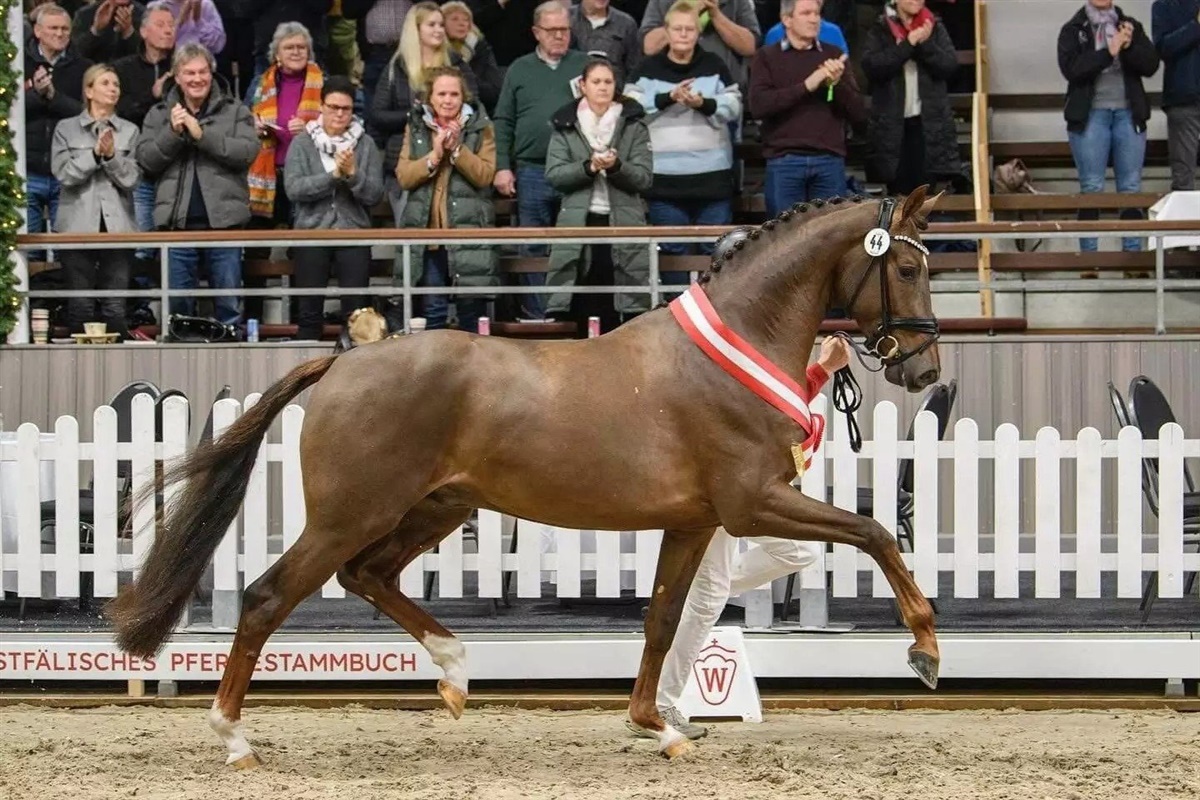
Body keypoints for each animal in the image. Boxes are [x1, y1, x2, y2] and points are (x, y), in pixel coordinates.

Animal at [107, 186, 945, 767]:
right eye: (905, 265)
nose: (925, 368)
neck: (733, 347)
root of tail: (344, 361)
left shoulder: (695, 520)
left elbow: (662, 619)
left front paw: (658, 728)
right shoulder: (750, 504)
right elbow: (875, 532)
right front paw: (925, 653)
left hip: (432, 508)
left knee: (367, 576)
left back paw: (453, 673)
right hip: (354, 512)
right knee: (269, 596)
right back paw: (235, 738)